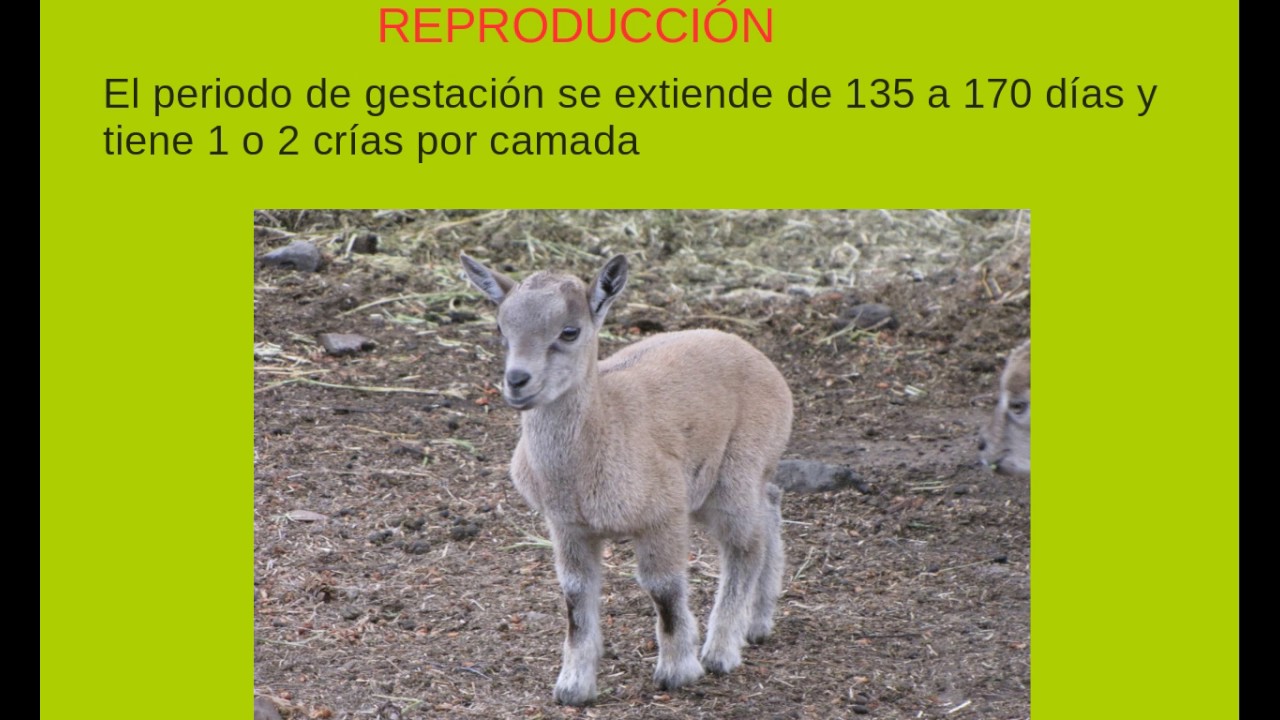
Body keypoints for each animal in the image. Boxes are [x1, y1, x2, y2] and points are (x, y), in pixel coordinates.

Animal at [461, 253, 794, 706]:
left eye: (569, 331)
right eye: (500, 329)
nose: (516, 381)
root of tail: (761, 360)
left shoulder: (662, 514)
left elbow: (663, 589)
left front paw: (678, 671)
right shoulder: (568, 527)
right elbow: (575, 596)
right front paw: (573, 687)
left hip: (736, 471)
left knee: (745, 546)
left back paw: (722, 650)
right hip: (721, 486)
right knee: (771, 504)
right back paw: (758, 625)